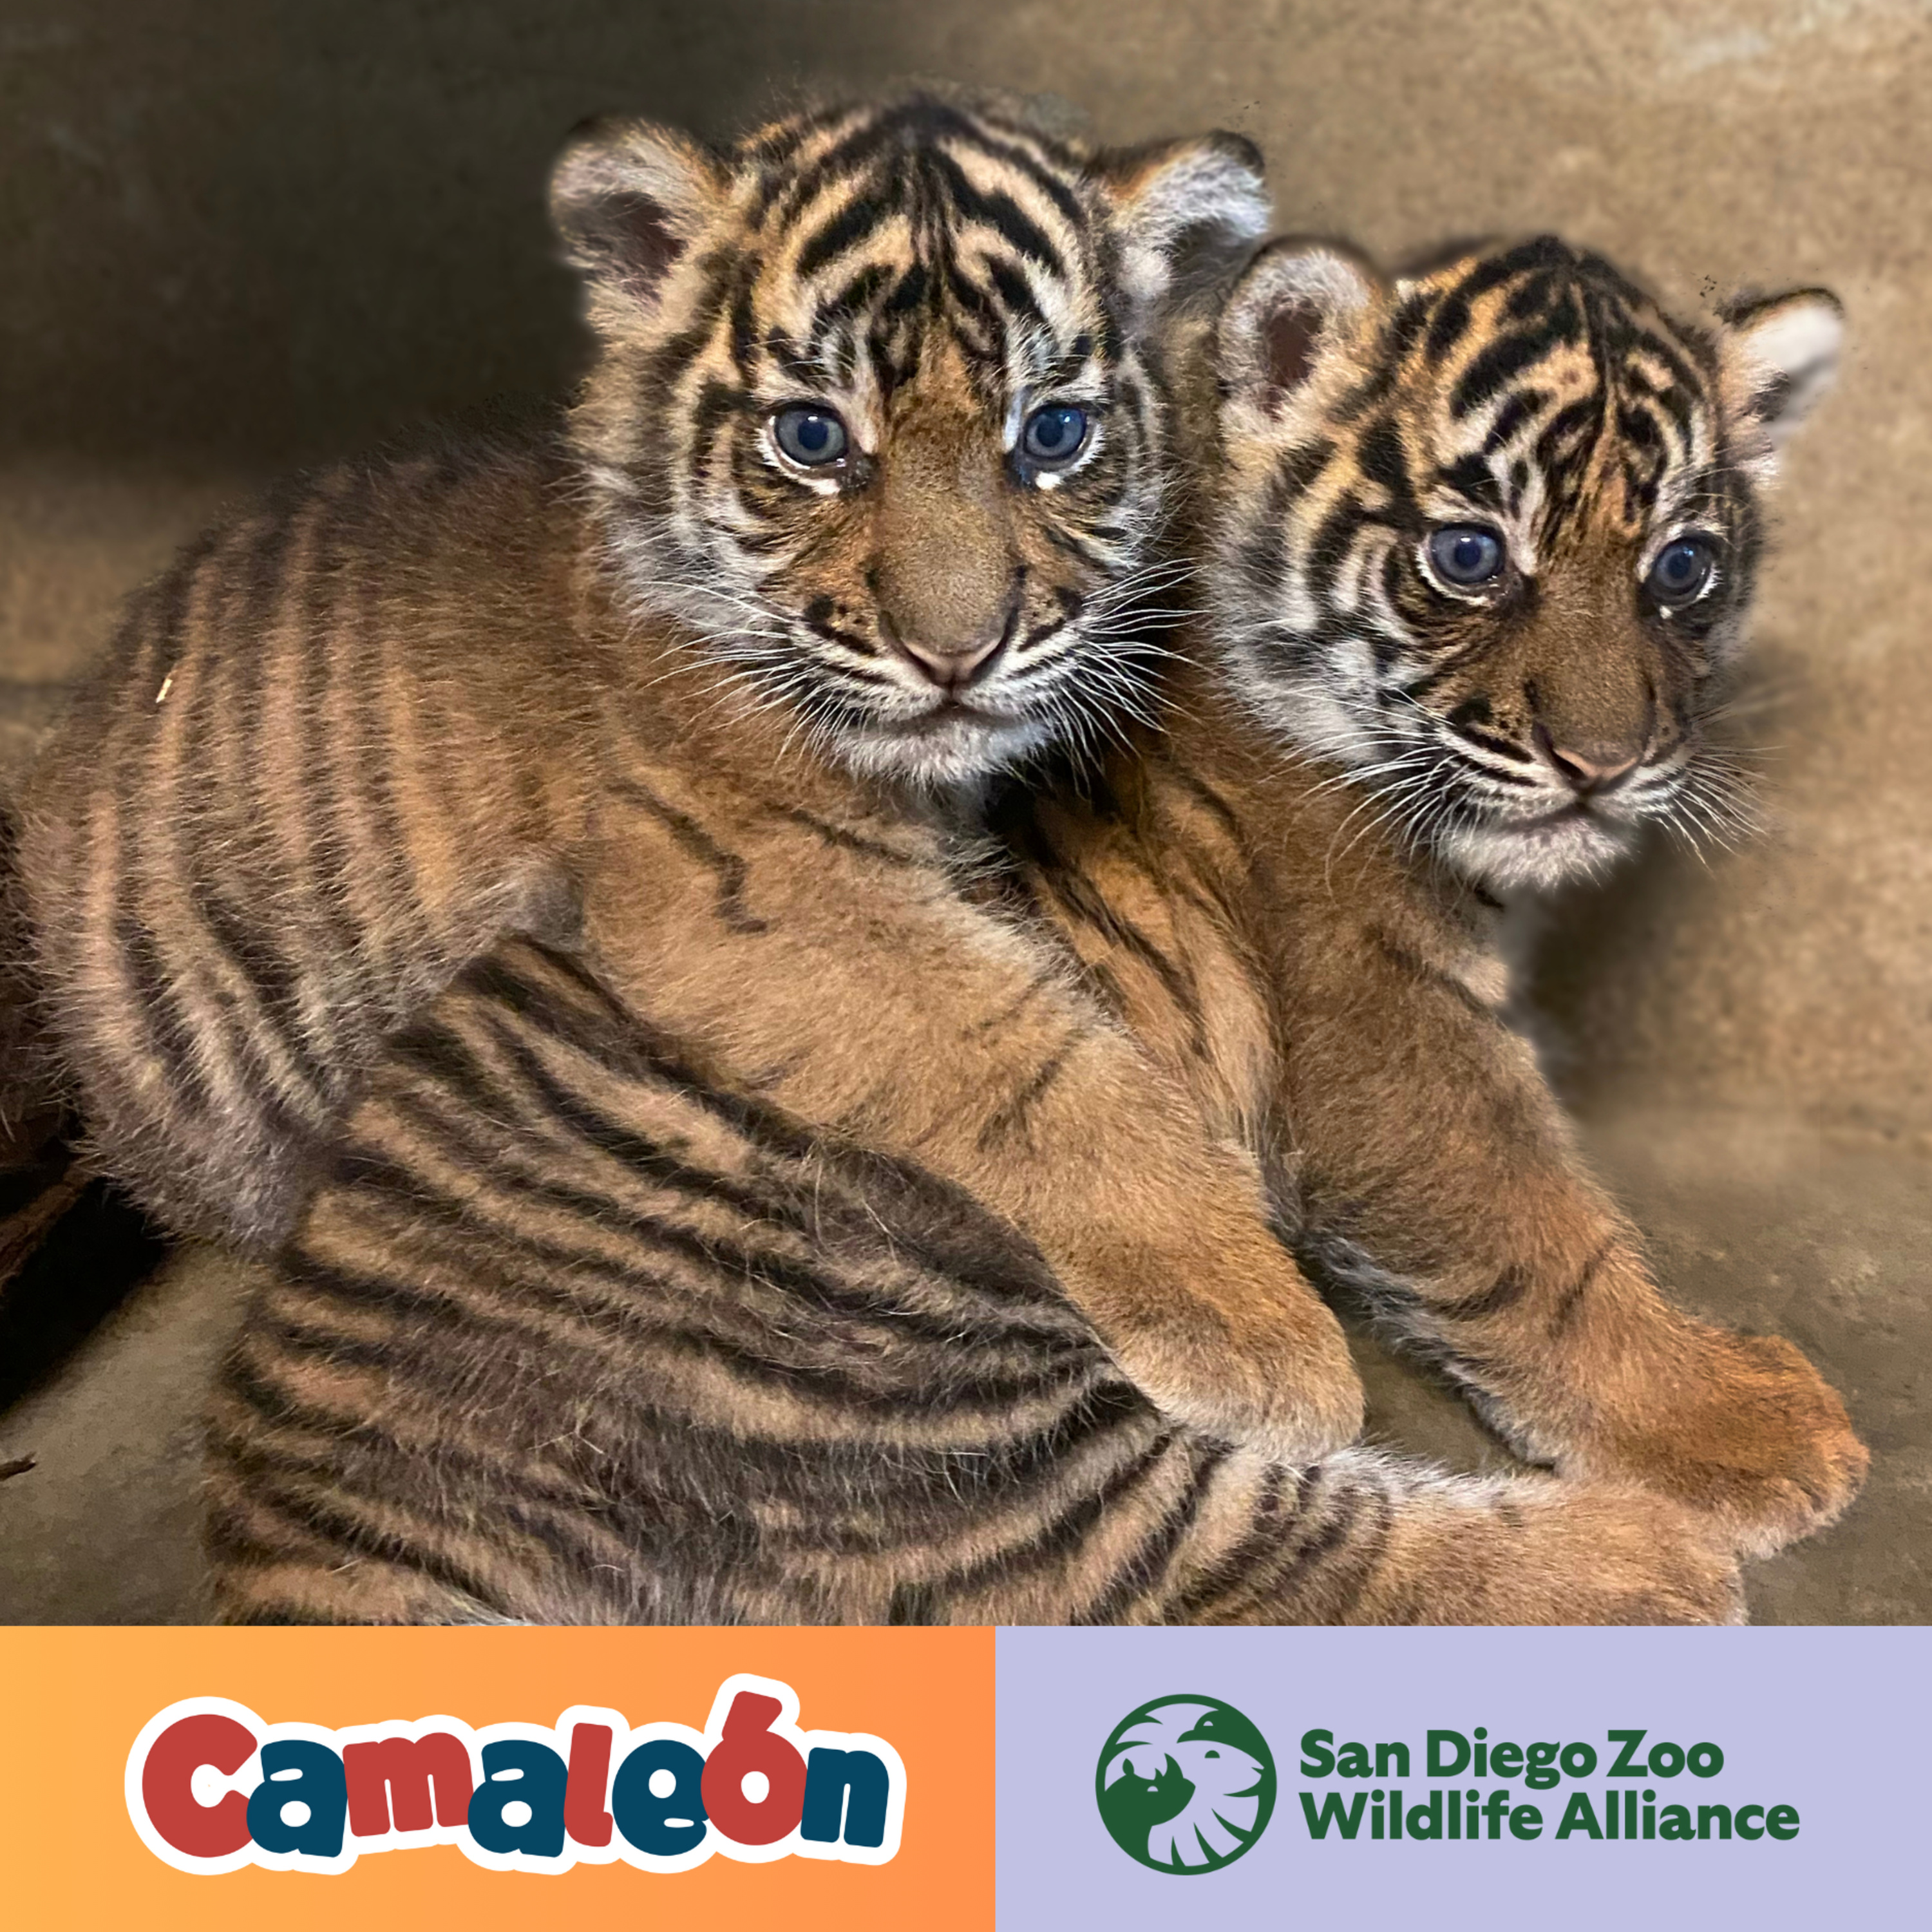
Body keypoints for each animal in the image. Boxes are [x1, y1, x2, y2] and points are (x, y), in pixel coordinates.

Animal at [13, 92, 1376, 1471]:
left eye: (1052, 436)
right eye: (814, 439)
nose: (957, 654)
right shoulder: (759, 894)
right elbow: (1040, 1061)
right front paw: (1266, 1333)